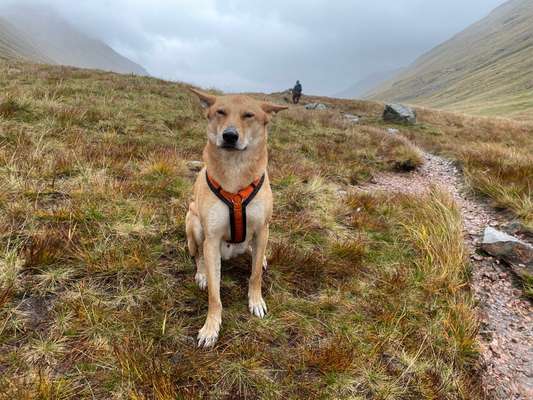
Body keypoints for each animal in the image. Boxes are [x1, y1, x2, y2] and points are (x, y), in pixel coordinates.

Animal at [186, 88, 286, 346]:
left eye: (249, 115)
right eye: (220, 112)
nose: (229, 136)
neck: (235, 170)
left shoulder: (262, 229)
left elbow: (255, 276)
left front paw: (256, 301)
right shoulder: (211, 239)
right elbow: (215, 294)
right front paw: (211, 327)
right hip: (193, 222)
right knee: (197, 255)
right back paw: (201, 273)